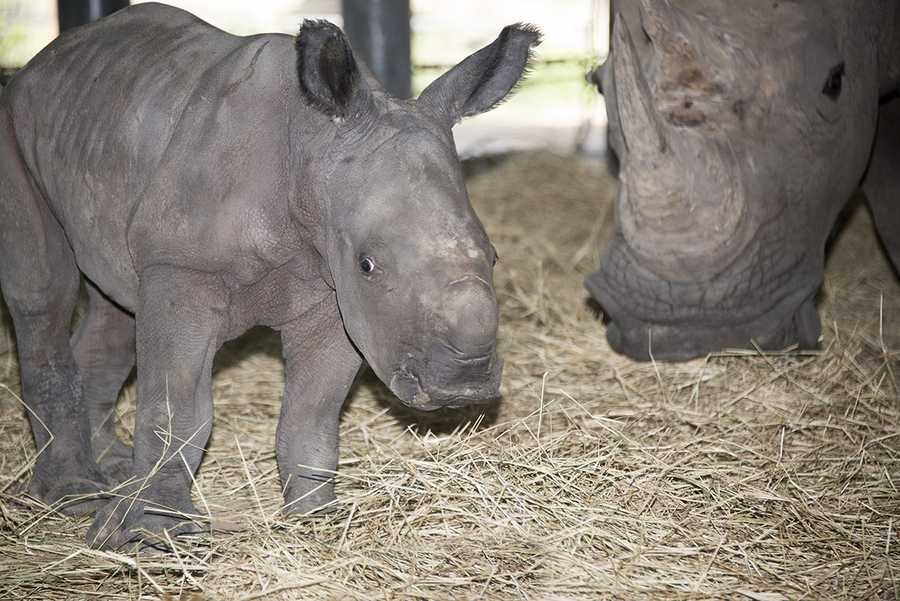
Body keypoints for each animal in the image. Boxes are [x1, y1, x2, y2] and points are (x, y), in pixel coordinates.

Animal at [0, 2, 540, 548]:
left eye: (494, 256)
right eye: (369, 264)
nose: (461, 388)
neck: (312, 147)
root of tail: (44, 62)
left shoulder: (336, 294)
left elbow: (312, 413)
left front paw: (315, 519)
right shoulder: (185, 267)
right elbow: (178, 407)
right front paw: (152, 535)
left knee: (114, 303)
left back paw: (110, 472)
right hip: (15, 125)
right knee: (44, 294)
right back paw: (75, 496)